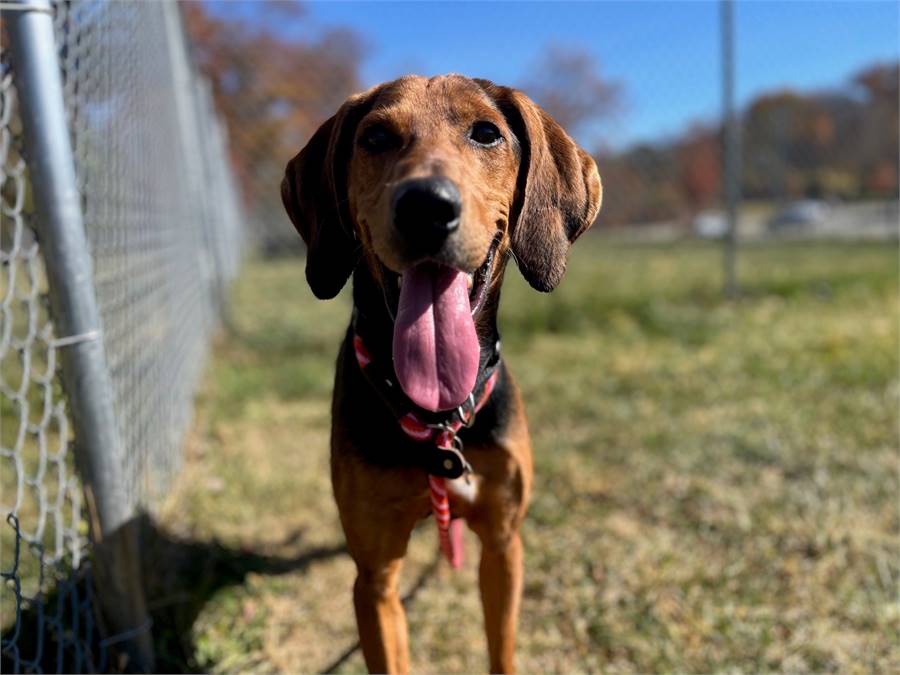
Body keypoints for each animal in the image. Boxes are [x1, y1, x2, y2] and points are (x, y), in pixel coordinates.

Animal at [280, 75, 604, 675]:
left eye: (486, 133)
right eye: (375, 137)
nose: (426, 207)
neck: (436, 417)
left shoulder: (503, 544)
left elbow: (501, 647)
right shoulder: (375, 579)